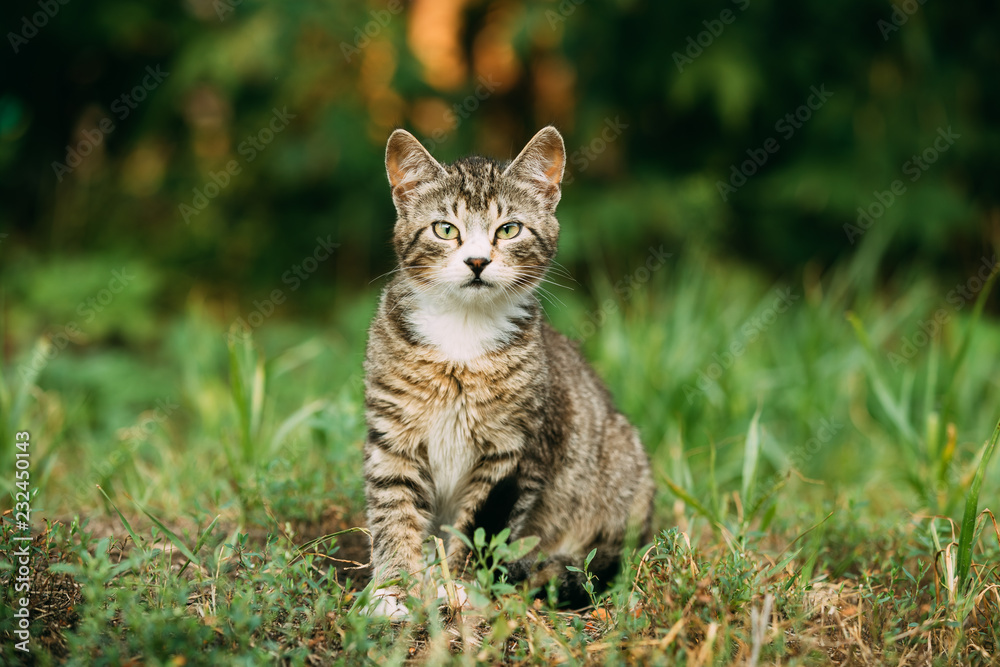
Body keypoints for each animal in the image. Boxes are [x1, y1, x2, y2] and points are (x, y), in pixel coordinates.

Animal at [364, 125, 652, 616]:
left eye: (509, 229)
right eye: (446, 229)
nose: (478, 261)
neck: (462, 332)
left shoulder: (518, 450)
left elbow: (482, 526)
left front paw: (460, 584)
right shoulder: (392, 438)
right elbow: (393, 513)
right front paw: (395, 588)